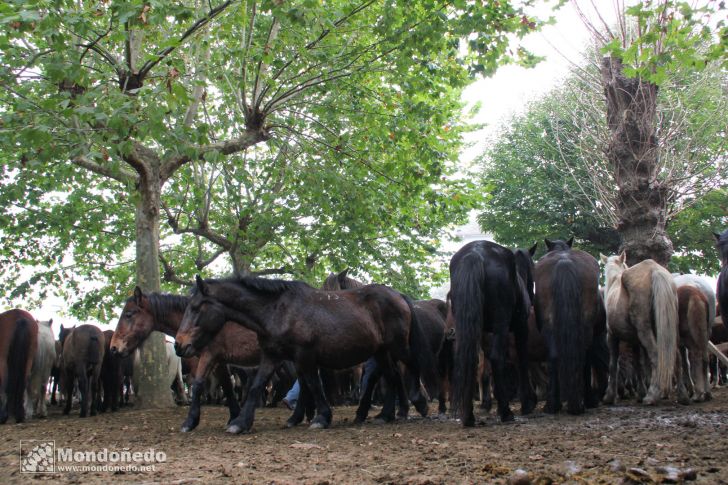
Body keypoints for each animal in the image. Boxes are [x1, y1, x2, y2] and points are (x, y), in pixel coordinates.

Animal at [106, 288, 258, 432]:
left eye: (128, 314)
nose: (113, 347)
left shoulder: (208, 356)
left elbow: (198, 385)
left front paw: (191, 421)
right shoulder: (219, 361)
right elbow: (226, 385)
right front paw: (234, 416)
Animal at [178, 274, 436, 432]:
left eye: (196, 307)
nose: (180, 345)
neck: (278, 311)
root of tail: (398, 295)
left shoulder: (305, 357)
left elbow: (313, 385)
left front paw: (321, 418)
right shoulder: (272, 356)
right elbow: (256, 386)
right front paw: (240, 422)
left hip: (397, 347)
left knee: (410, 367)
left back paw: (418, 403)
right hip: (382, 351)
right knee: (392, 376)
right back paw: (387, 414)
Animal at [450, 240, 536, 426]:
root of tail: (474, 254)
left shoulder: (484, 333)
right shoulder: (521, 327)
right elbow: (522, 358)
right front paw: (528, 402)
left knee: (471, 359)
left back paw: (468, 416)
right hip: (501, 323)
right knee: (497, 358)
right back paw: (506, 412)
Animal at [596, 251, 688, 402]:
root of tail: (654, 270)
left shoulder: (612, 336)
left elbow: (613, 364)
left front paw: (609, 395)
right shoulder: (635, 341)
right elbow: (639, 364)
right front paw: (641, 391)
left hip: (644, 331)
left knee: (656, 356)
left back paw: (653, 394)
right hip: (669, 332)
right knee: (677, 358)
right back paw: (682, 395)